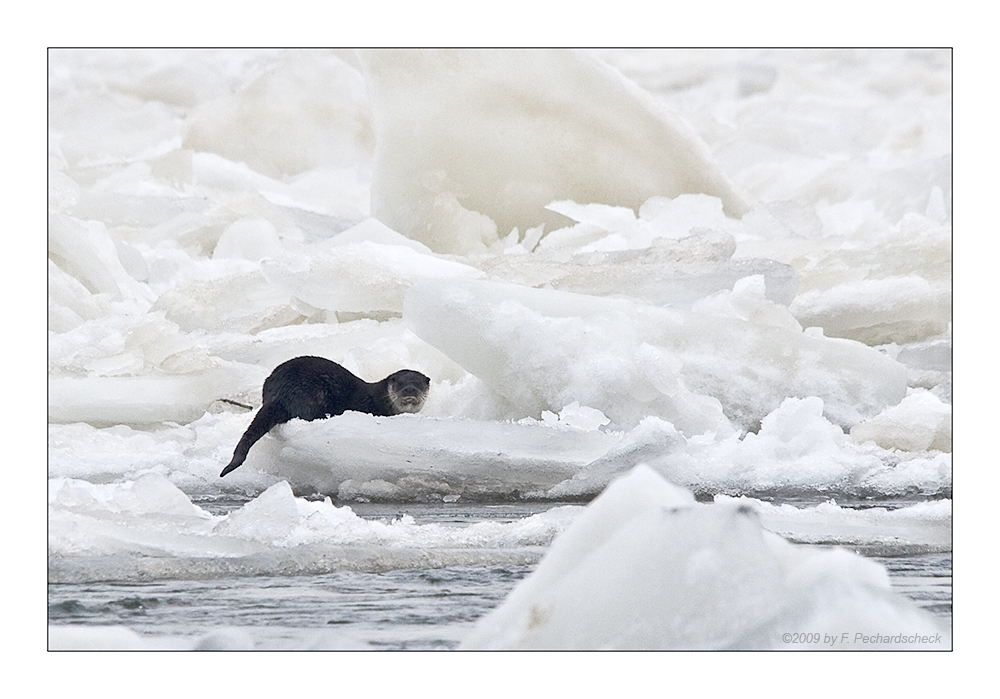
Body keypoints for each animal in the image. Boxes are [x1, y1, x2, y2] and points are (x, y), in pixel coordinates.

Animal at [219, 358, 430, 478]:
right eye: (400, 383)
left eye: (419, 383)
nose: (410, 390)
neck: (380, 400)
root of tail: (279, 392)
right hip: (312, 395)